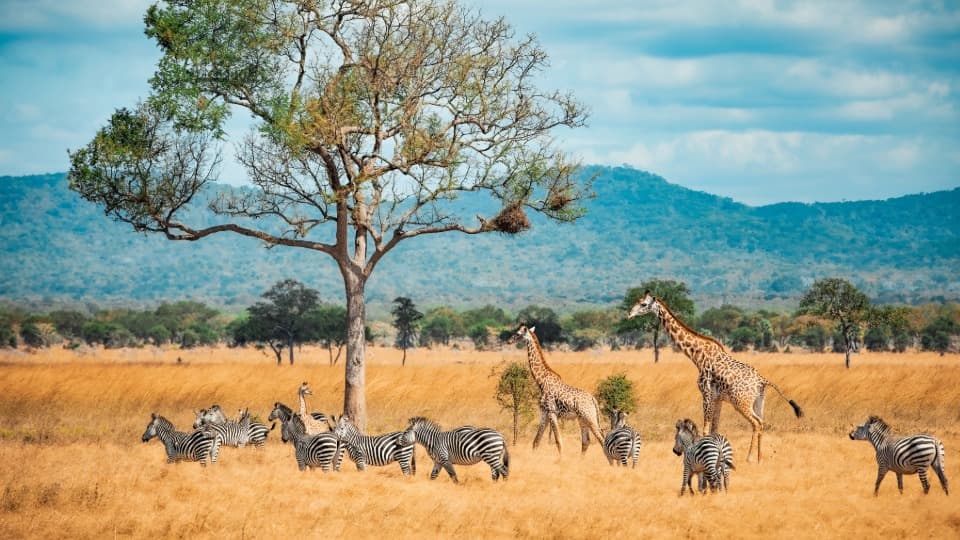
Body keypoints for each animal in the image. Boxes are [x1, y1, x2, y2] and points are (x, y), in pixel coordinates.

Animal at [513, 325, 606, 456]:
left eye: (518, 333)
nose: (510, 339)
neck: (541, 381)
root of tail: (593, 399)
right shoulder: (545, 413)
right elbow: (536, 441)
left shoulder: (552, 412)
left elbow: (558, 440)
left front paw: (560, 459)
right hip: (582, 419)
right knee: (586, 441)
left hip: (589, 417)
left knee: (601, 439)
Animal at [628, 291, 803, 463]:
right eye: (637, 300)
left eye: (643, 304)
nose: (629, 314)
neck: (697, 356)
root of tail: (762, 380)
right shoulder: (718, 398)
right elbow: (715, 429)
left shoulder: (706, 394)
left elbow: (705, 429)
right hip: (758, 402)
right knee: (762, 422)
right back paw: (760, 459)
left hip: (741, 403)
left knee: (756, 423)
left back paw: (749, 458)